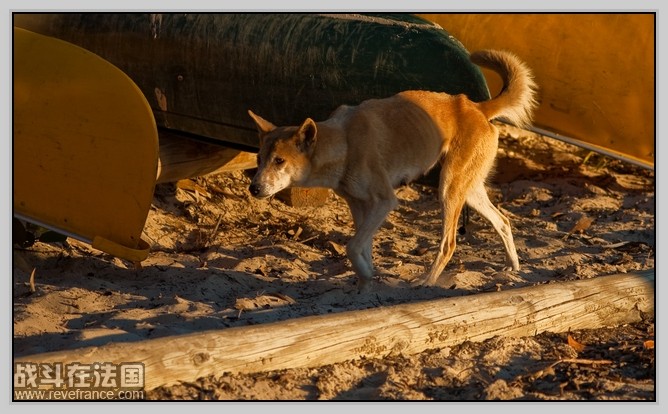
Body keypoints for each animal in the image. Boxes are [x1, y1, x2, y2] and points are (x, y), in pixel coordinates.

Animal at [247, 50, 536, 290]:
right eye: (259, 159)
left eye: (279, 161)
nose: (254, 188)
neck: (346, 141)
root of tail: (475, 106)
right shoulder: (359, 206)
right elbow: (362, 248)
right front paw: (366, 283)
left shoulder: (385, 201)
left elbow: (352, 246)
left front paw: (367, 278)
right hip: (469, 191)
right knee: (503, 221)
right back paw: (512, 268)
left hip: (448, 190)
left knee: (449, 244)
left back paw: (427, 281)